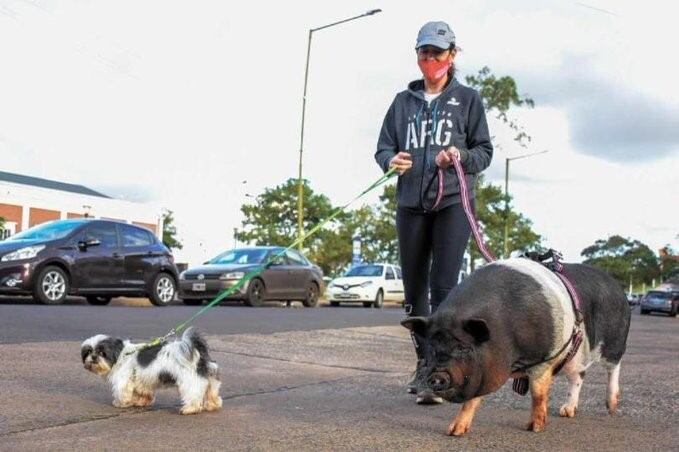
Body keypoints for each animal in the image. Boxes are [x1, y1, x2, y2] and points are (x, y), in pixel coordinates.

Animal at [81, 326, 222, 414]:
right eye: (88, 352)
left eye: (102, 352)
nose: (93, 357)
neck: (121, 355)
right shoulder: (141, 380)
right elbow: (143, 392)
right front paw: (141, 402)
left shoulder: (123, 381)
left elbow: (122, 393)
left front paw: (120, 403)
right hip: (211, 379)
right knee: (211, 392)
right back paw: (213, 404)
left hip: (189, 380)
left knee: (193, 394)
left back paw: (190, 409)